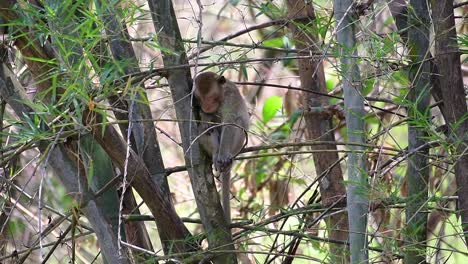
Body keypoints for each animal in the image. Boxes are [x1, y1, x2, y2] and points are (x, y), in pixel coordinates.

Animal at [193, 71, 250, 224]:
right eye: (200, 98)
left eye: (211, 97)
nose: (206, 107)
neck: (222, 94)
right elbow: (206, 122)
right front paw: (206, 117)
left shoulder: (231, 98)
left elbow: (229, 123)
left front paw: (223, 156)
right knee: (204, 129)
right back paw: (214, 153)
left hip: (237, 145)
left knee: (237, 122)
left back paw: (224, 157)